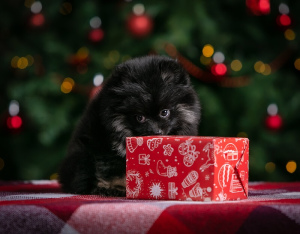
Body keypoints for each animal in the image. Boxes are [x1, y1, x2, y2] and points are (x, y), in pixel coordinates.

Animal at [58, 54, 200, 196]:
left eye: (164, 112)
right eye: (139, 117)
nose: (156, 131)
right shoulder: (104, 149)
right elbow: (112, 173)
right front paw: (120, 187)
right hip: (83, 155)